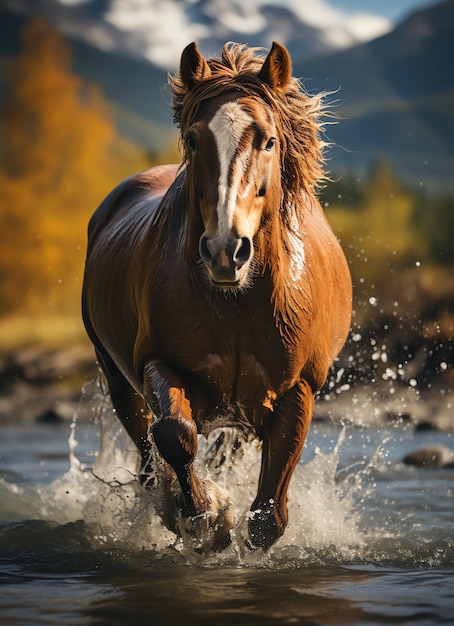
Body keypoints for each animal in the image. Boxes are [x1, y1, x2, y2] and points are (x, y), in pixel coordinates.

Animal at [81, 42, 352, 552]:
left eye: (269, 141)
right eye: (192, 139)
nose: (226, 251)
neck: (238, 306)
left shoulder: (298, 390)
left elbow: (268, 517)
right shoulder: (158, 364)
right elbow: (175, 435)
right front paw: (206, 516)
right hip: (118, 379)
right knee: (148, 461)